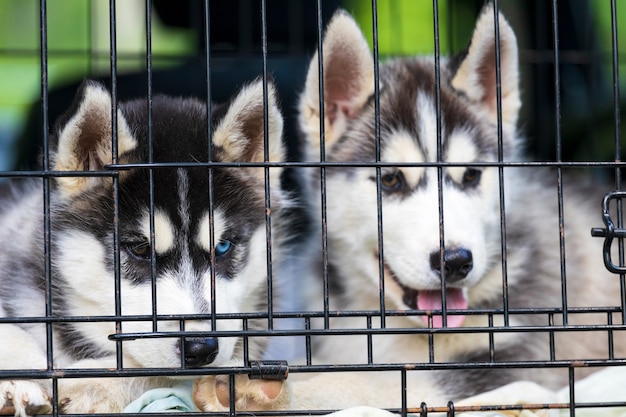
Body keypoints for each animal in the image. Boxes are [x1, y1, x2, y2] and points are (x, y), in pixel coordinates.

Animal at [194, 3, 624, 412]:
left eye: (471, 176)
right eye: (391, 180)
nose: (455, 261)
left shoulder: (511, 361)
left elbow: (371, 383)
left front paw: (263, 390)